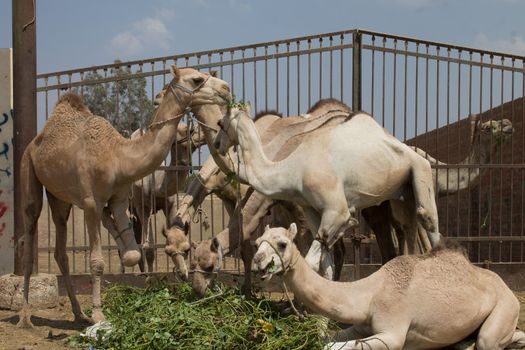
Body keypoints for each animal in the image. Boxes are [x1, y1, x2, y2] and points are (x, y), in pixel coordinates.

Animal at [254, 224, 524, 350]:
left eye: (282, 243)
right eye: (257, 242)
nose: (258, 262)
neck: (368, 295)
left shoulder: (392, 332)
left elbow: (334, 346)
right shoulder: (359, 327)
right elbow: (330, 340)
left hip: (506, 305)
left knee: (488, 340)